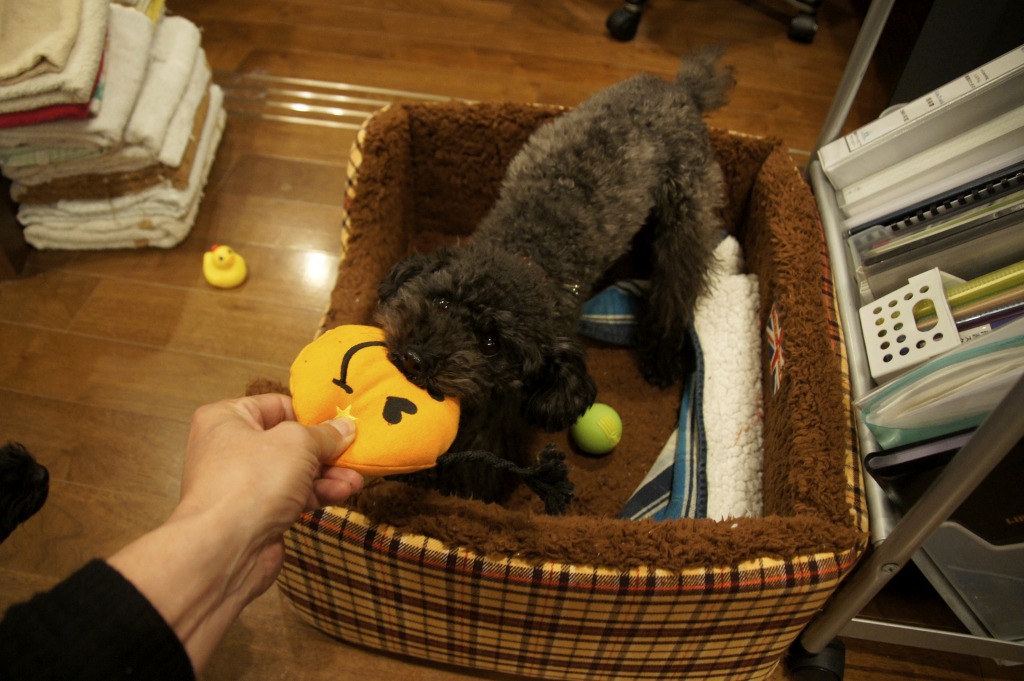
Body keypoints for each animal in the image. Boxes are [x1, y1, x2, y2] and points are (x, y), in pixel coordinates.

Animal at [376, 48, 734, 503]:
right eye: (441, 301)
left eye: (491, 346)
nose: (415, 358)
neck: (526, 254)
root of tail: (681, 89)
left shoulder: (501, 399)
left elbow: (484, 448)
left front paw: (467, 488)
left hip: (686, 216)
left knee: (677, 288)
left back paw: (659, 357)